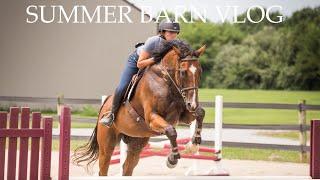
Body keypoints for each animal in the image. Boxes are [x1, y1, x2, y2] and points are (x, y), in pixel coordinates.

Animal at [72, 39, 206, 176]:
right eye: (183, 72)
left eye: (200, 72)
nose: (192, 104)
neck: (167, 82)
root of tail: (105, 105)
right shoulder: (152, 117)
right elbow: (171, 131)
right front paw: (172, 159)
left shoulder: (183, 115)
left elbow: (201, 113)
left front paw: (194, 144)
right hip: (107, 145)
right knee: (104, 168)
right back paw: (108, 119)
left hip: (136, 143)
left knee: (127, 168)